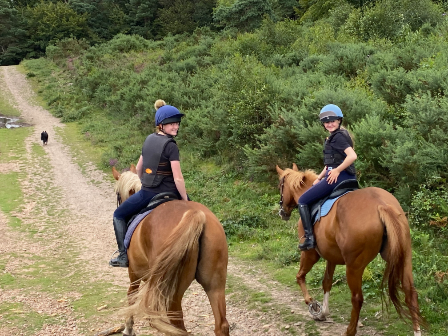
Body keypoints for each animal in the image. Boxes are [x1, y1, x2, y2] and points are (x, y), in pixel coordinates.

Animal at [112, 167, 231, 334]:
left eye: (117, 194)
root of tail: (196, 216)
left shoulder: (134, 273)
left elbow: (131, 296)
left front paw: (128, 328)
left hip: (171, 293)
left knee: (178, 327)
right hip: (215, 285)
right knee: (221, 325)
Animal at [274, 164, 426, 336]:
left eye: (280, 186)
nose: (282, 212)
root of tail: (382, 205)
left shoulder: (309, 254)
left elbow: (300, 277)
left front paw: (313, 305)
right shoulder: (331, 257)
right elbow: (327, 282)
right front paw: (323, 312)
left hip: (353, 267)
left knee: (357, 298)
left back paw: (350, 331)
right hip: (404, 257)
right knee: (410, 292)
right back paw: (416, 330)